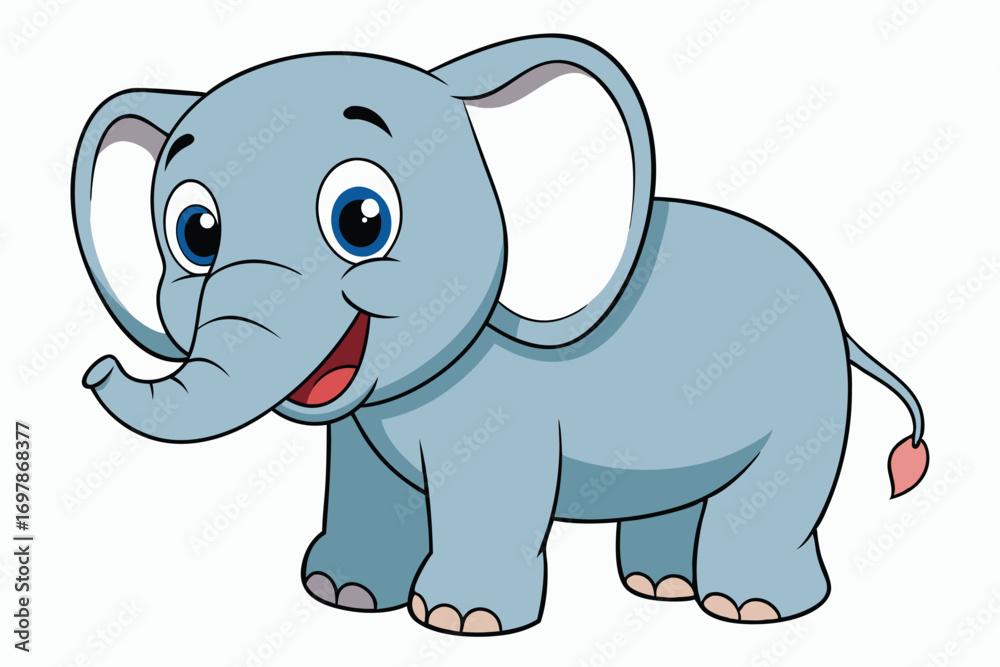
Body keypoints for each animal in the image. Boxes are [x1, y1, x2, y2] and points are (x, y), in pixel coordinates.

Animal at [72, 35, 930, 635]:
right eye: (195, 233)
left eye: (362, 219)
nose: (95, 369)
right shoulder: (360, 423)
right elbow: (370, 482)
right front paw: (344, 594)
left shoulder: (502, 406)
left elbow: (490, 488)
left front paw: (460, 621)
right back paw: (661, 587)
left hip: (811, 393)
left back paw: (748, 610)